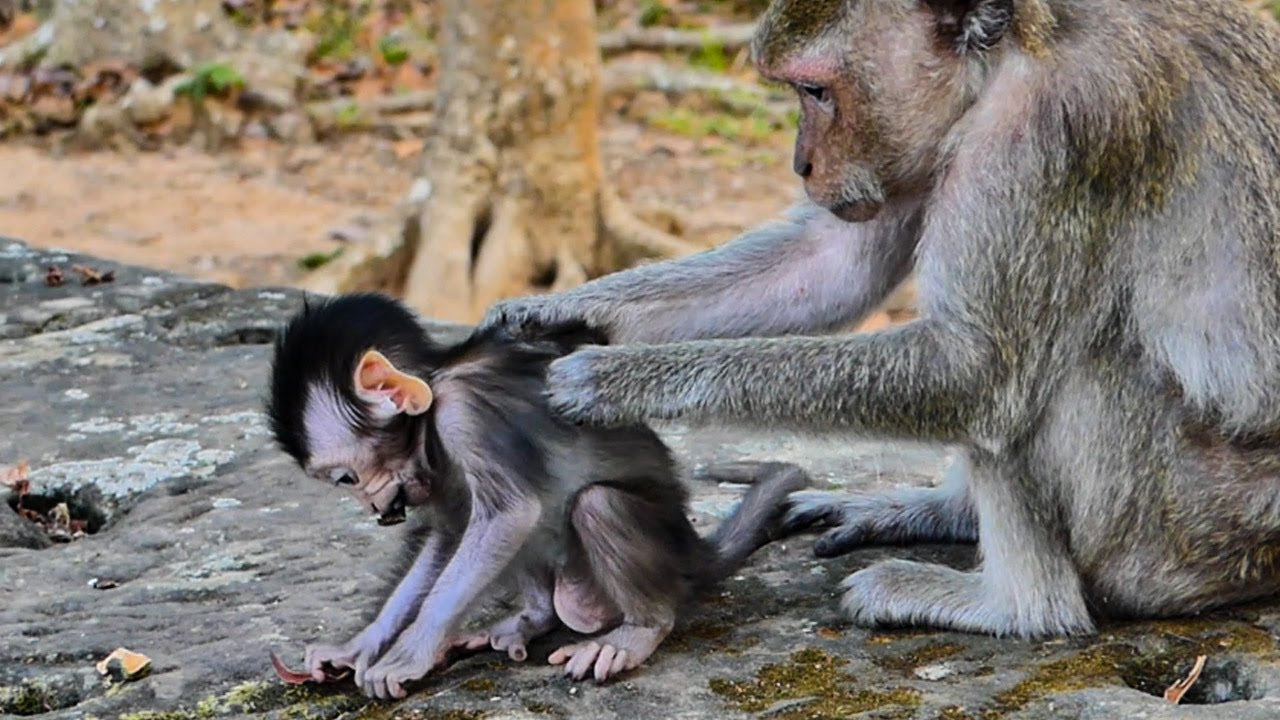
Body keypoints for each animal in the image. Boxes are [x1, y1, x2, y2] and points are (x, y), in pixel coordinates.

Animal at [264, 292, 808, 699]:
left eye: (346, 479)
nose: (374, 510)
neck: (435, 396)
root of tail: (695, 550)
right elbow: (450, 535)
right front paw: (358, 647)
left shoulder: (465, 417)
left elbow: (507, 516)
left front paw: (408, 654)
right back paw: (532, 619)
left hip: (657, 548)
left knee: (593, 505)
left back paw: (638, 632)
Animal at [478, 0, 1280, 640]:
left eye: (814, 89)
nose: (802, 163)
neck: (1009, 57)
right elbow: (830, 266)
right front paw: (552, 313)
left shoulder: (1051, 134)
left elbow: (972, 371)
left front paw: (615, 379)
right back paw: (941, 513)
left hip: (1182, 532)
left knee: (1048, 371)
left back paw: (1013, 606)